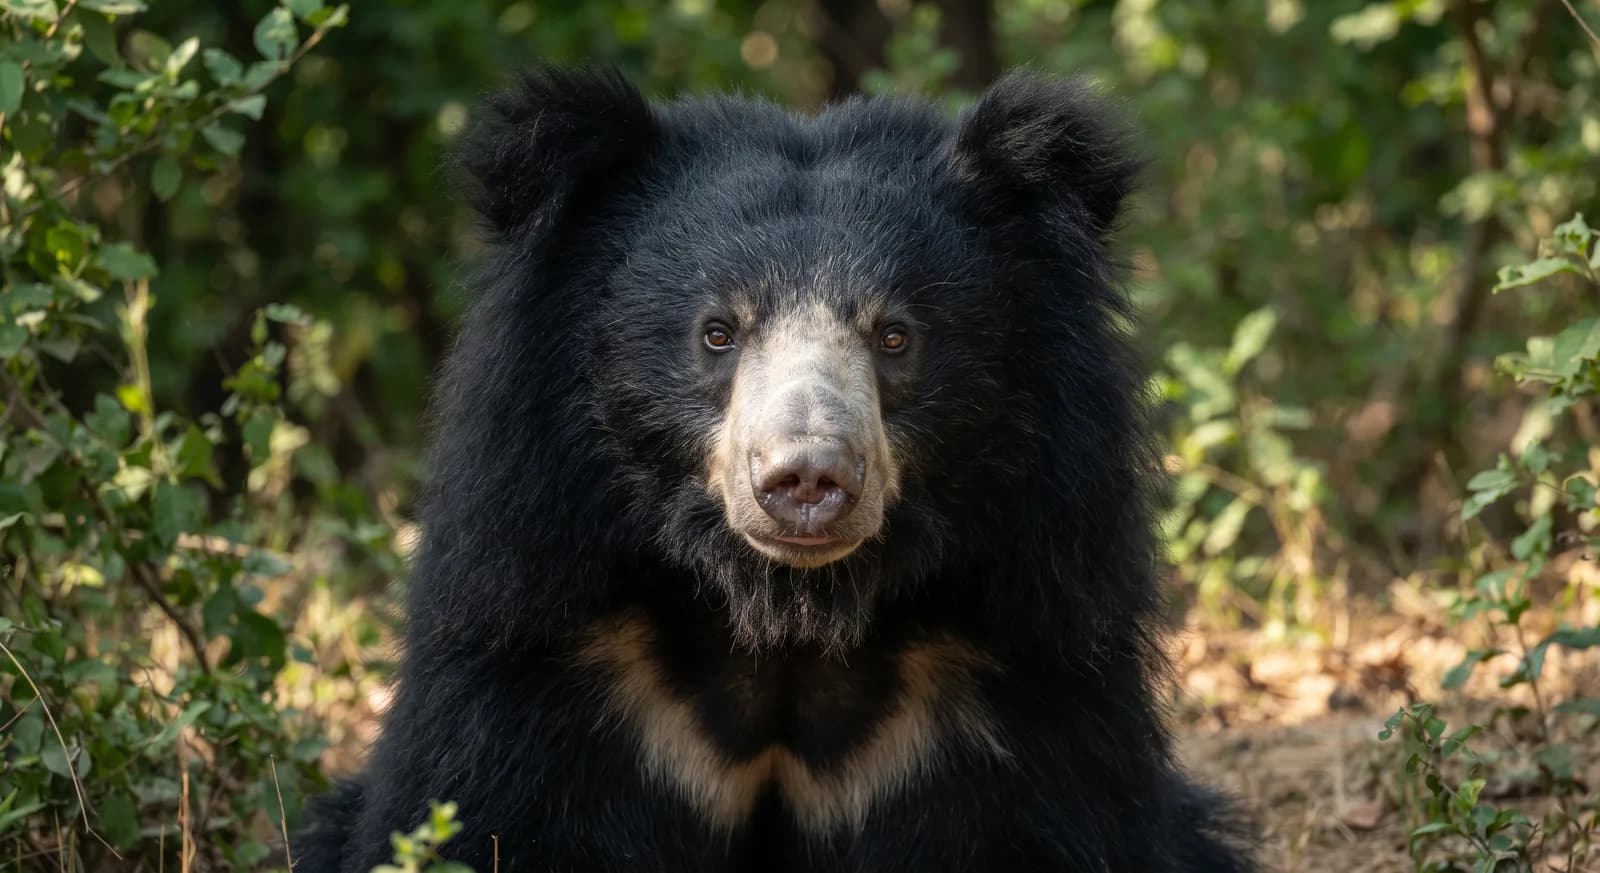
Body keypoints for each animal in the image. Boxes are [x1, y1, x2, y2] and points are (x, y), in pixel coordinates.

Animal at [294, 67, 1253, 873]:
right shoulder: (540, 636)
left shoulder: (1023, 654)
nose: (807, 479)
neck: (786, 609)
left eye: (894, 335)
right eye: (718, 331)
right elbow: (493, 814)